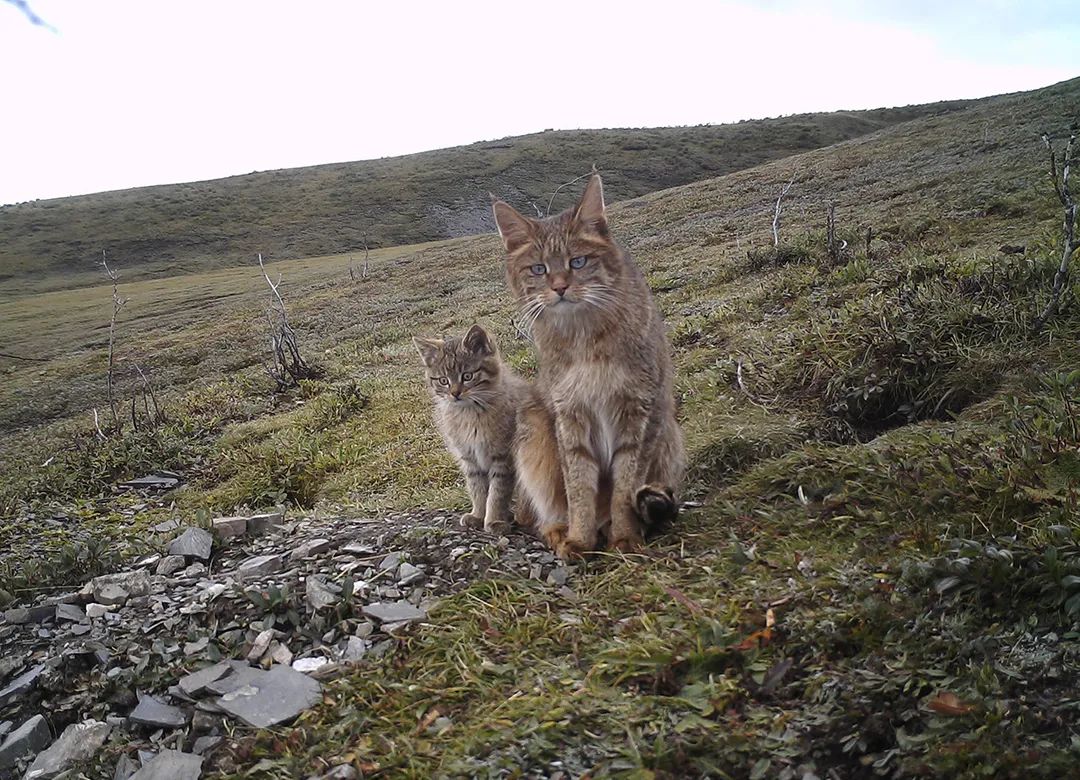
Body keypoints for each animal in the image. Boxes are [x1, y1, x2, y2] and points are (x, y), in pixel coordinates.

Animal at [412, 324, 527, 535]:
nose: (455, 393)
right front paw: (478, 515)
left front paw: (493, 520)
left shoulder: (503, 458)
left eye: (467, 376)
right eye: (443, 380)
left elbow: (497, 493)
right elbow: (478, 490)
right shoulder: (470, 459)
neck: (469, 415)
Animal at [492, 172, 682, 557]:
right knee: (539, 510)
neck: (584, 337)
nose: (560, 288)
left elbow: (625, 487)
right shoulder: (570, 414)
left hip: (669, 430)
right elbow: (577, 486)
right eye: (539, 269)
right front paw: (579, 537)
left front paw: (625, 535)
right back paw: (558, 529)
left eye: (577, 262)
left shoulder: (641, 411)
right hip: (533, 423)